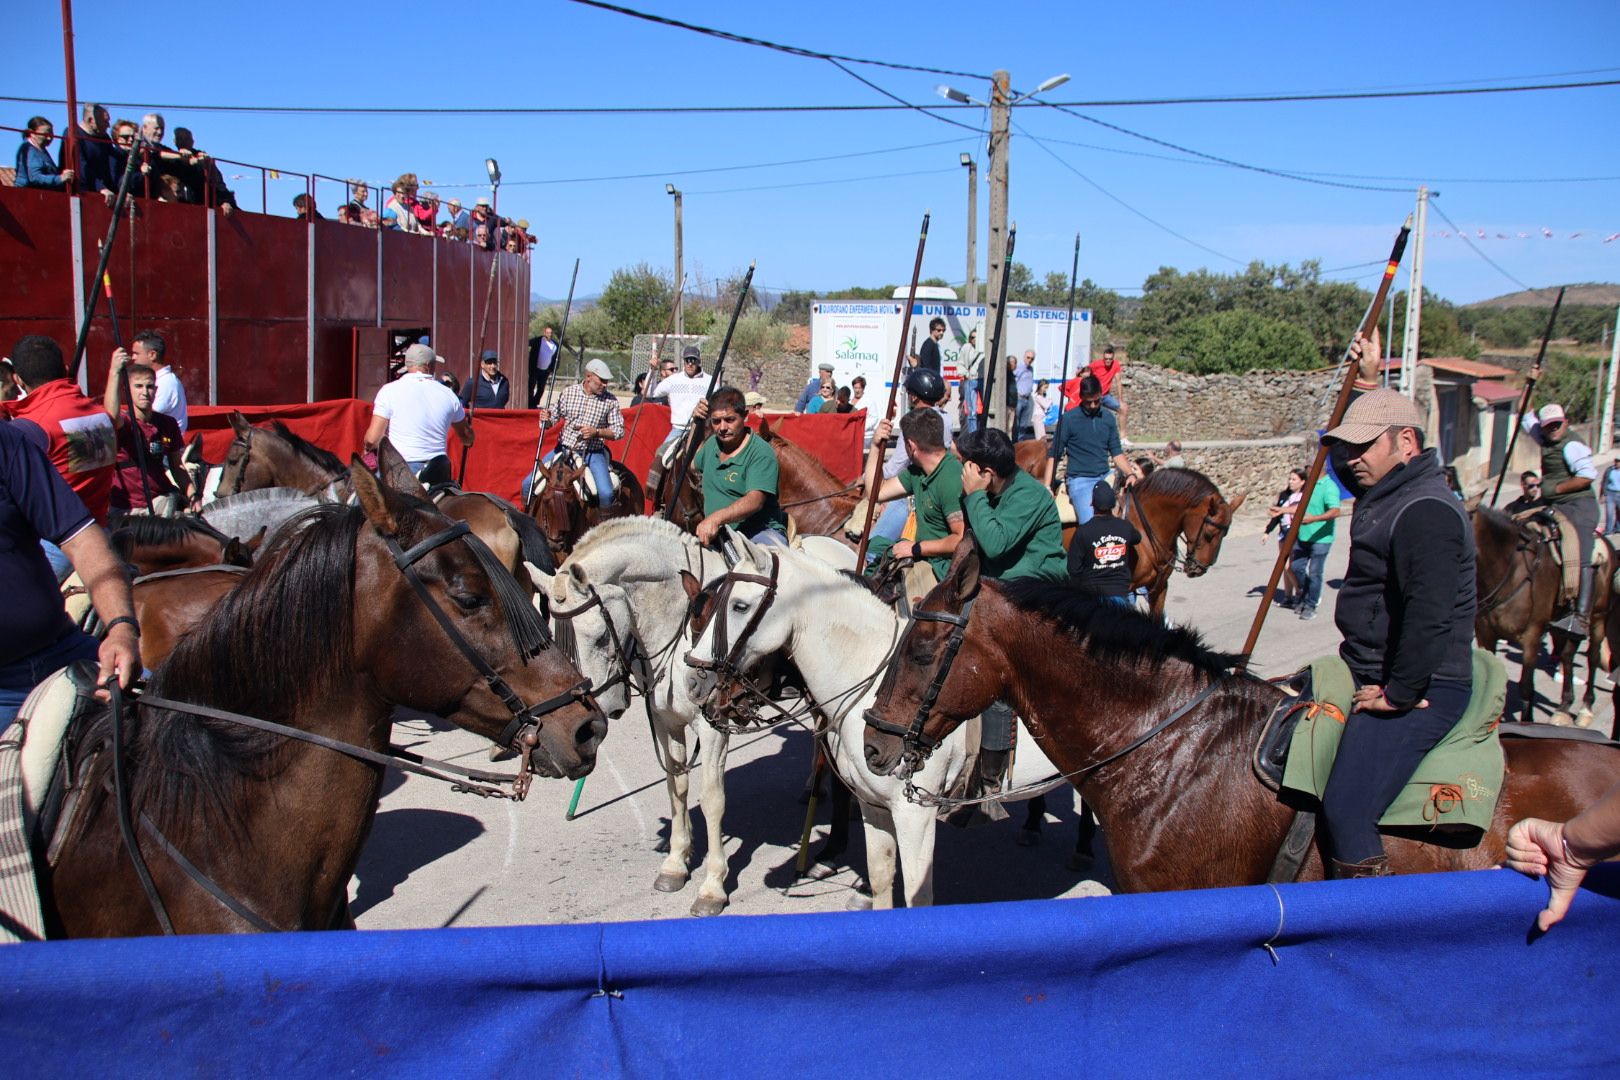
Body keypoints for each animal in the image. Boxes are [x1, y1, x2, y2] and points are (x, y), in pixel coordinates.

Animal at [524, 514, 741, 913]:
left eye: (599, 637)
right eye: (557, 642)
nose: (593, 715)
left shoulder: (713, 728)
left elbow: (713, 799)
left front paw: (713, 885)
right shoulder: (666, 723)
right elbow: (677, 787)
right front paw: (675, 863)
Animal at [680, 537, 1049, 906]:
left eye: (739, 606)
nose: (693, 681)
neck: (872, 681)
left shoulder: (915, 815)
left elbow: (917, 894)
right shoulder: (873, 804)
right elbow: (880, 875)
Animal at [1477, 508, 1613, 725]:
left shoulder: (1532, 636)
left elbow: (1526, 687)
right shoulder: (1485, 635)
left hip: (1599, 616)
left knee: (1592, 656)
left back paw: (1586, 708)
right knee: (1567, 655)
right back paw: (1564, 706)